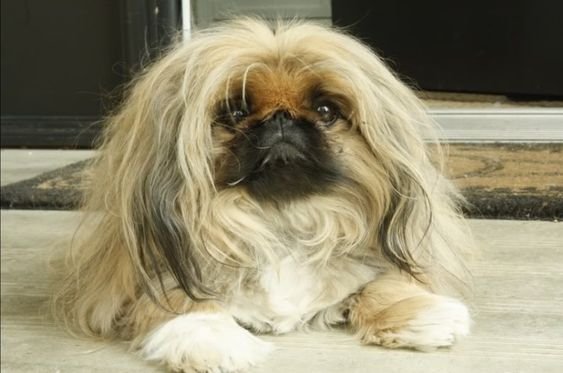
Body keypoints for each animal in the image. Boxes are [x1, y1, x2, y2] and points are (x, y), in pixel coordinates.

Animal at [54, 18, 476, 372]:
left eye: (326, 110)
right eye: (236, 112)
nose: (281, 119)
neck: (280, 218)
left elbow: (381, 282)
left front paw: (419, 315)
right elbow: (180, 299)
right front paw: (211, 337)